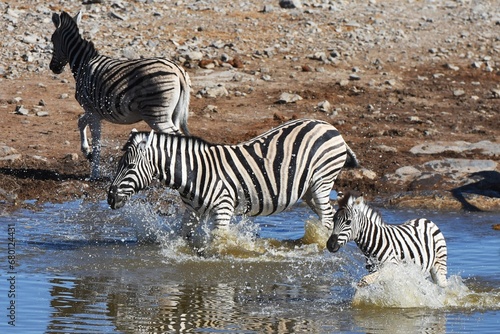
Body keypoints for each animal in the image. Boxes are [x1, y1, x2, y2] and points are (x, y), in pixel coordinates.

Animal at [49, 11, 191, 180]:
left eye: (52, 40)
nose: (53, 68)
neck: (84, 63)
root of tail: (177, 70)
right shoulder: (93, 112)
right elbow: (80, 122)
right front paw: (86, 152)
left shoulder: (92, 110)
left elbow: (96, 142)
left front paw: (94, 173)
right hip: (173, 113)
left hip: (157, 115)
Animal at [108, 118, 360, 244]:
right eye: (119, 165)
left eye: (129, 166)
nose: (110, 197)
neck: (195, 172)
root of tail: (329, 126)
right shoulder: (192, 211)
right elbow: (184, 236)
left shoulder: (223, 207)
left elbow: (220, 241)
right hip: (307, 190)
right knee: (326, 216)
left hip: (321, 182)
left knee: (326, 217)